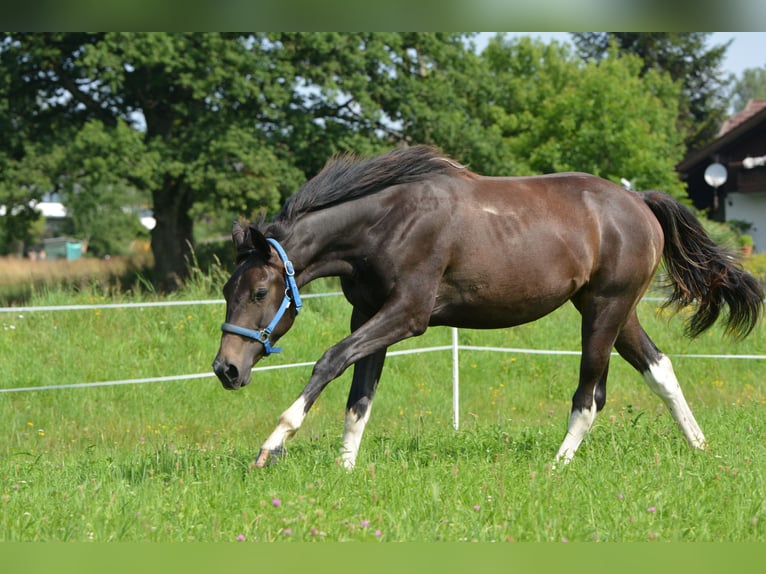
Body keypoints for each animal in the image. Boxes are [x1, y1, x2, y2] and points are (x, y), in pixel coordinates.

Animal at [212, 145, 763, 471]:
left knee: (590, 395)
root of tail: (640, 201)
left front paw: (272, 445)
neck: (386, 224)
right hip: (615, 310)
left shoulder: (407, 315)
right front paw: (345, 469)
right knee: (659, 369)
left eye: (259, 292)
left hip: (604, 311)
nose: (225, 369)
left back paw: (556, 467)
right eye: (225, 290)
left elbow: (329, 361)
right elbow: (359, 394)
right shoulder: (367, 315)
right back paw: (702, 449)